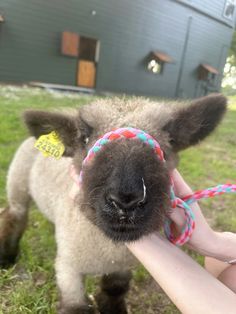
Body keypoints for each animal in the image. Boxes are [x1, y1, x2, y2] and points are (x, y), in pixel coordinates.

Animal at [0, 94, 226, 312]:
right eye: (84, 138)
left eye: (170, 139)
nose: (126, 200)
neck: (108, 253)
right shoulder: (68, 269)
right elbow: (75, 306)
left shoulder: (121, 268)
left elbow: (115, 290)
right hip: (18, 183)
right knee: (14, 216)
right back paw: (7, 258)